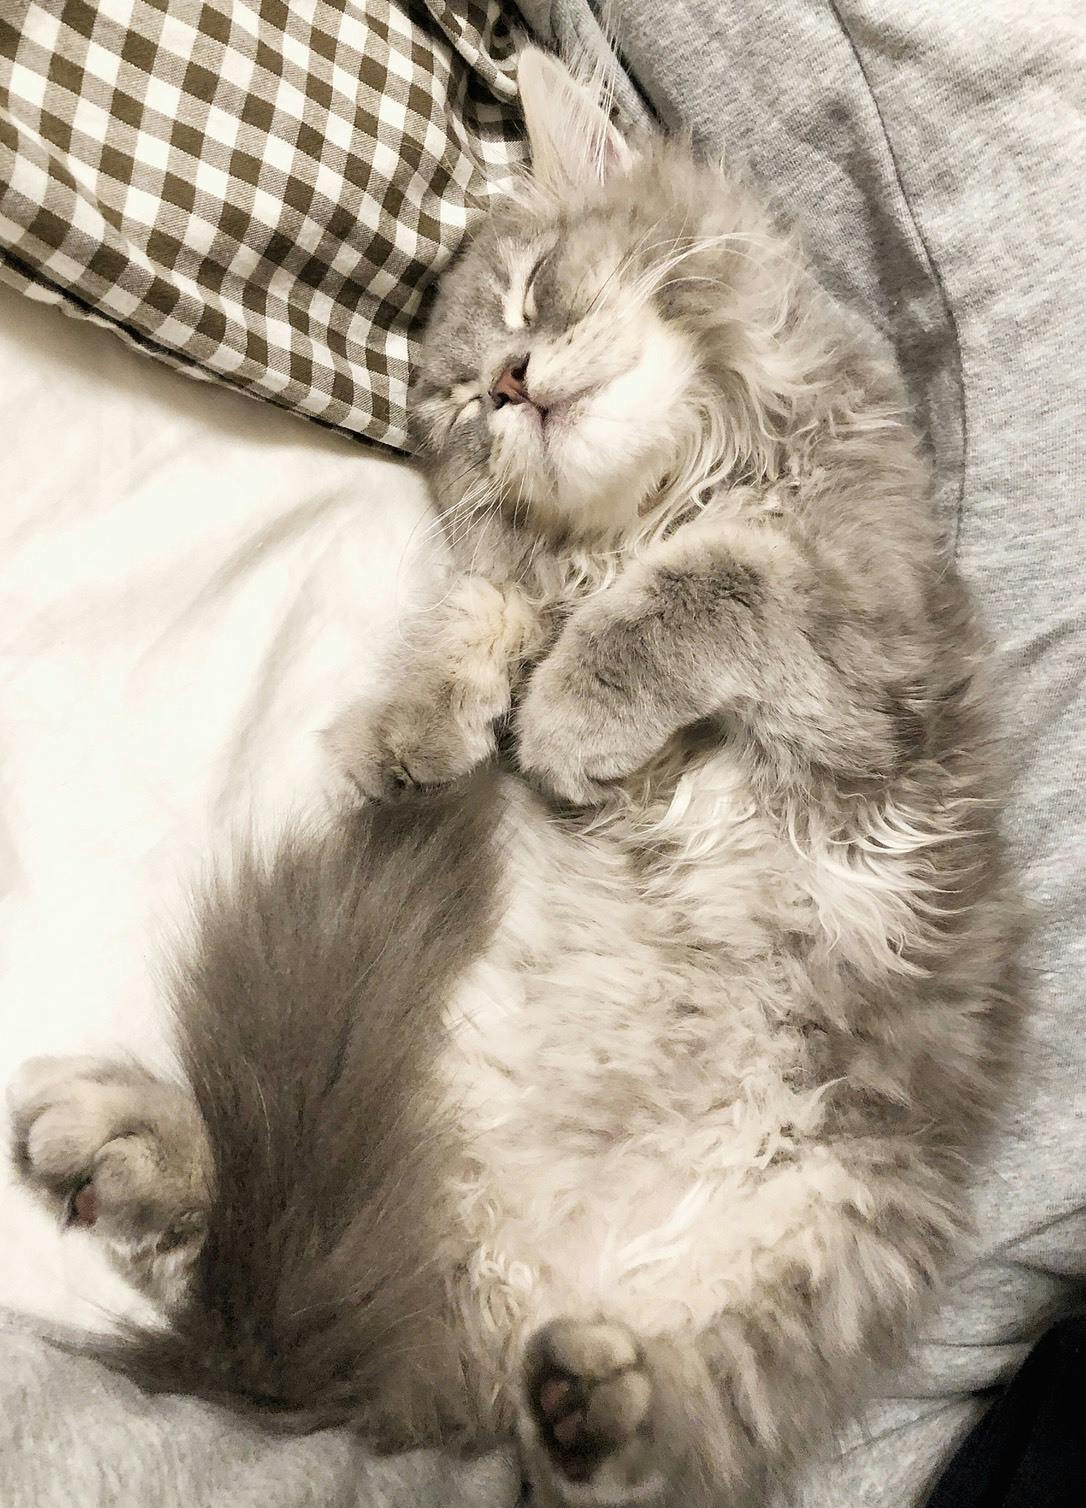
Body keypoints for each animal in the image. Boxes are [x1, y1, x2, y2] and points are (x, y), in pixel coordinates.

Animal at [9, 48, 1015, 1508]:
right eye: (459, 402)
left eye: (535, 292)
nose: (512, 383)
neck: (664, 496)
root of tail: (496, 1305)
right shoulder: (583, 591)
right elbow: (484, 606)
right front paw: (417, 728)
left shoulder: (875, 662)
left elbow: (722, 582)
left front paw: (572, 710)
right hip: (411, 1094)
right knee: (266, 1180)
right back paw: (129, 1146)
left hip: (812, 1256)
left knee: (658, 1437)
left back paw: (587, 1397)